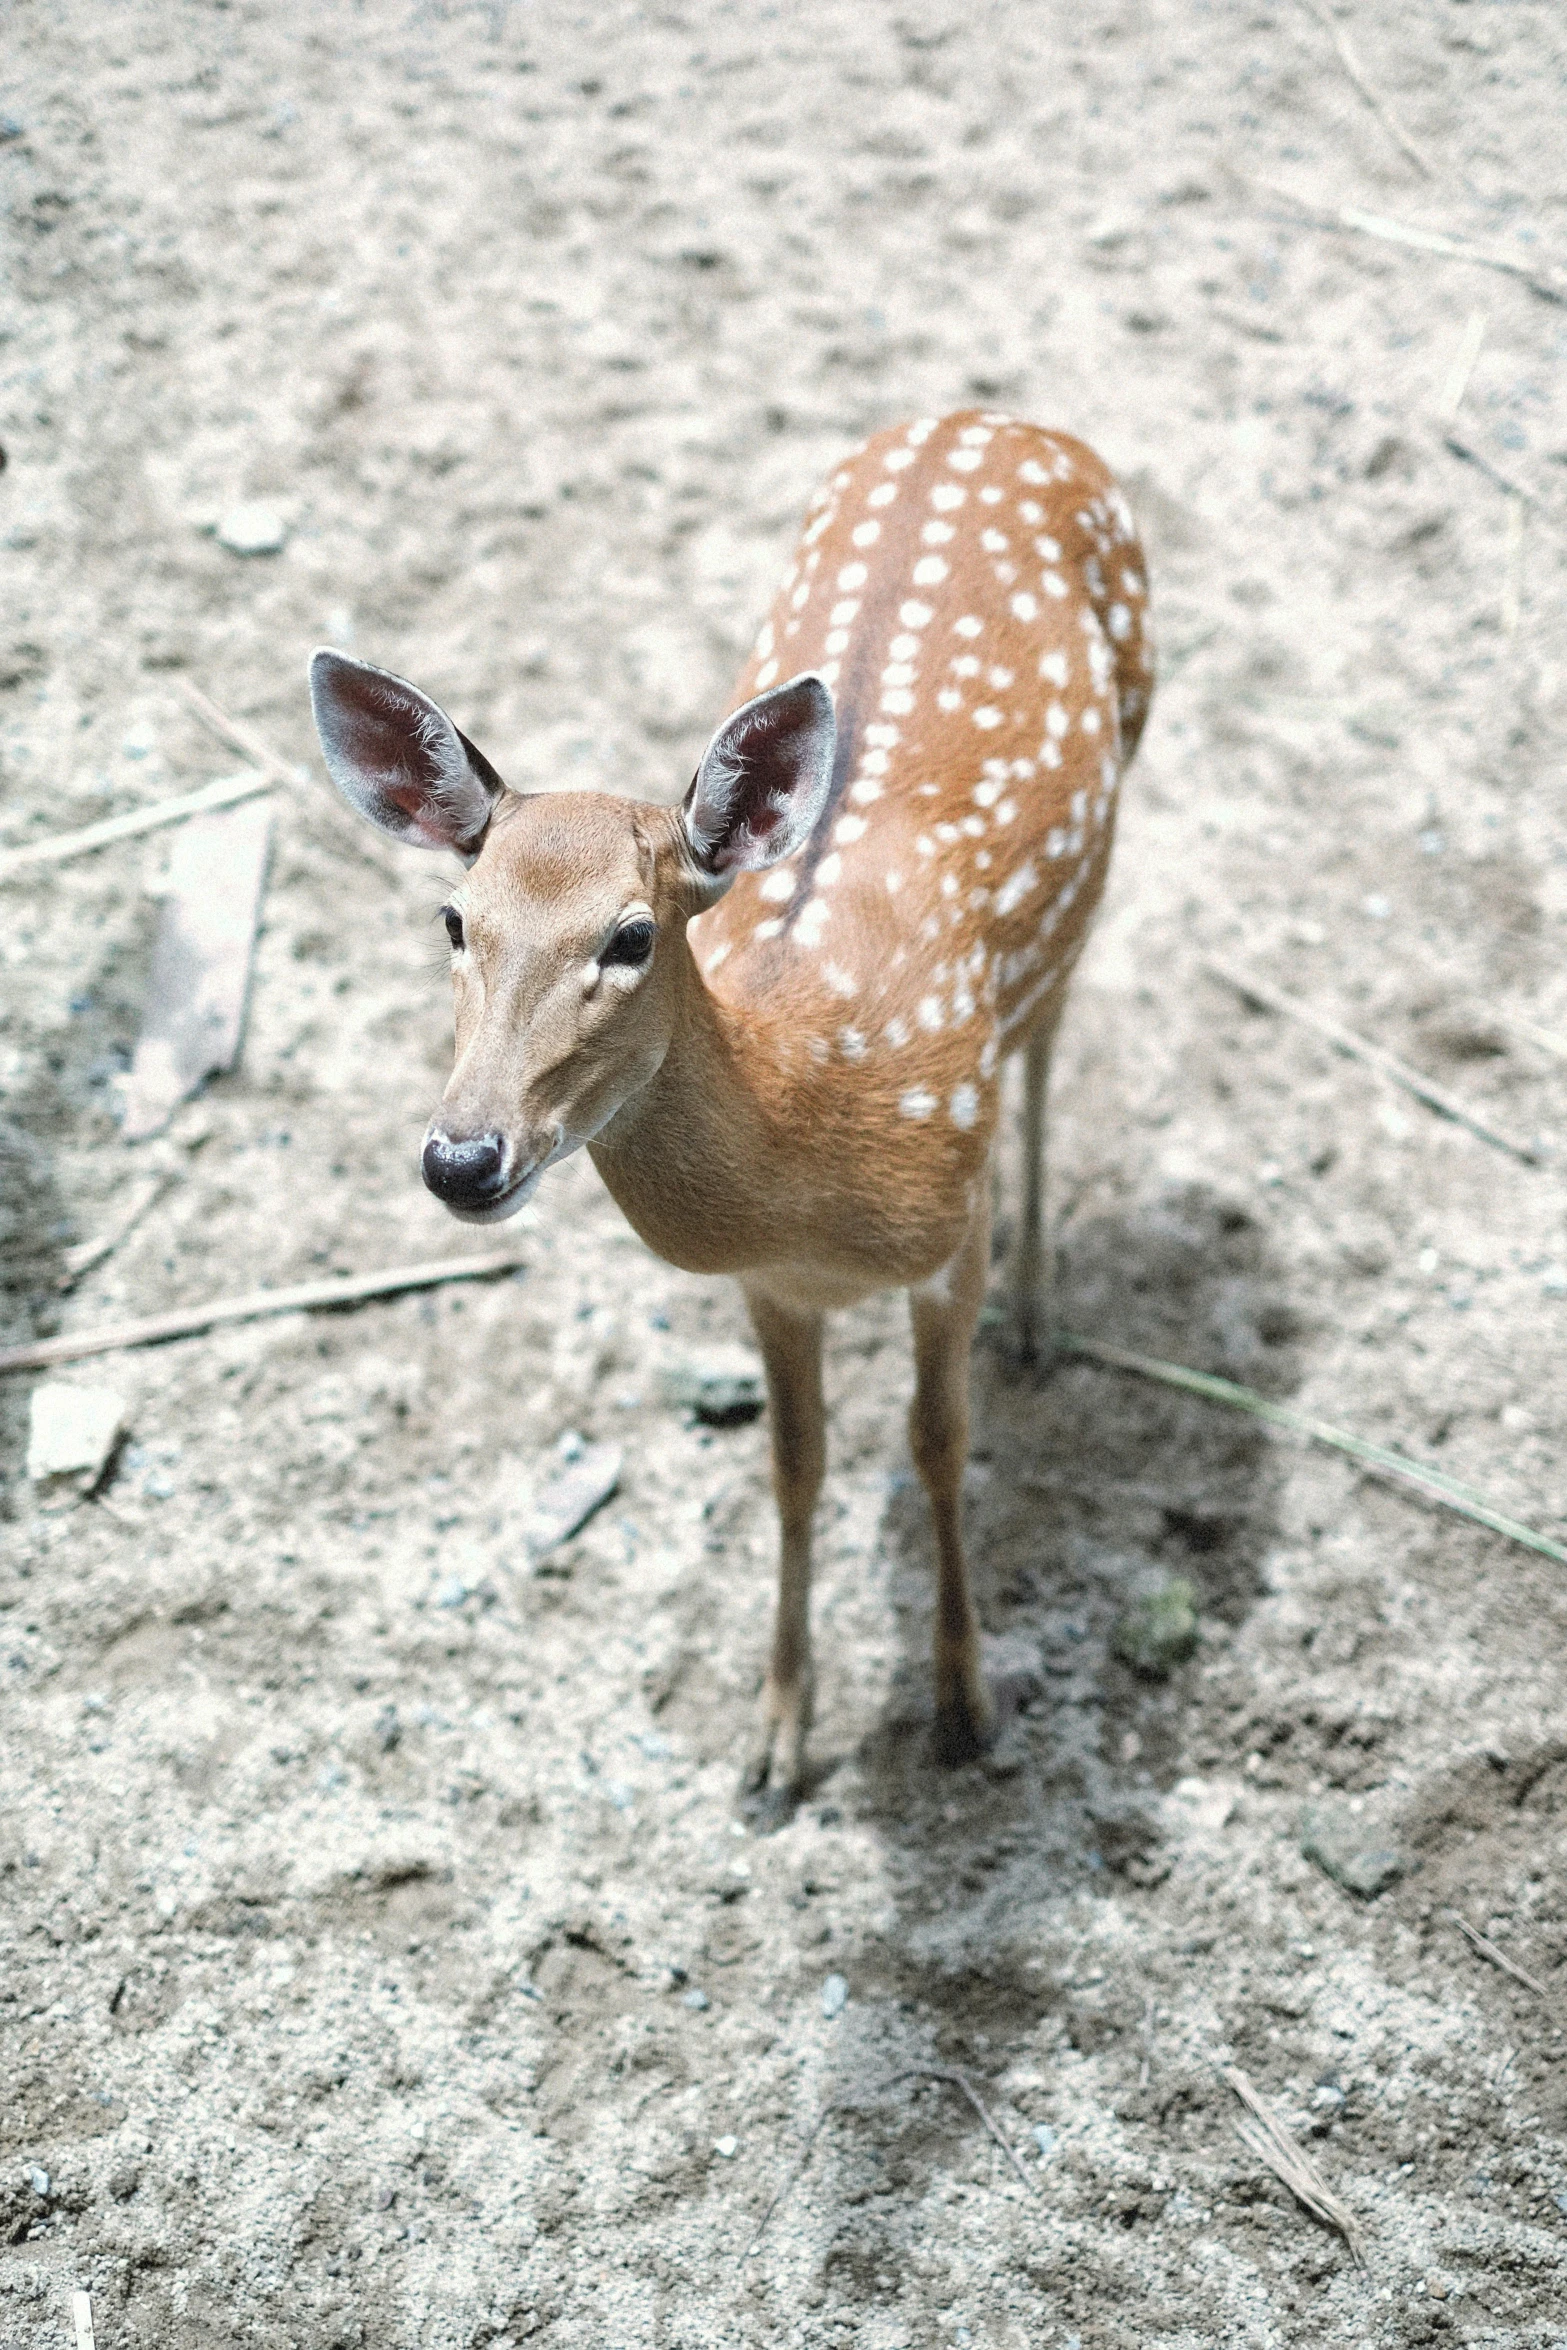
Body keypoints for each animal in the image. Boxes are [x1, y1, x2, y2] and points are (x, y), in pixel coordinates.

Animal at [312, 408, 1160, 1795]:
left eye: (632, 935)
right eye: (453, 919)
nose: (462, 1157)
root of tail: (999, 418)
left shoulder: (946, 1230)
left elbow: (937, 1441)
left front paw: (966, 1706)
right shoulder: (769, 1287)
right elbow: (793, 1467)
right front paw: (774, 1734)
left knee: (1048, 1041)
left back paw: (1042, 1314)